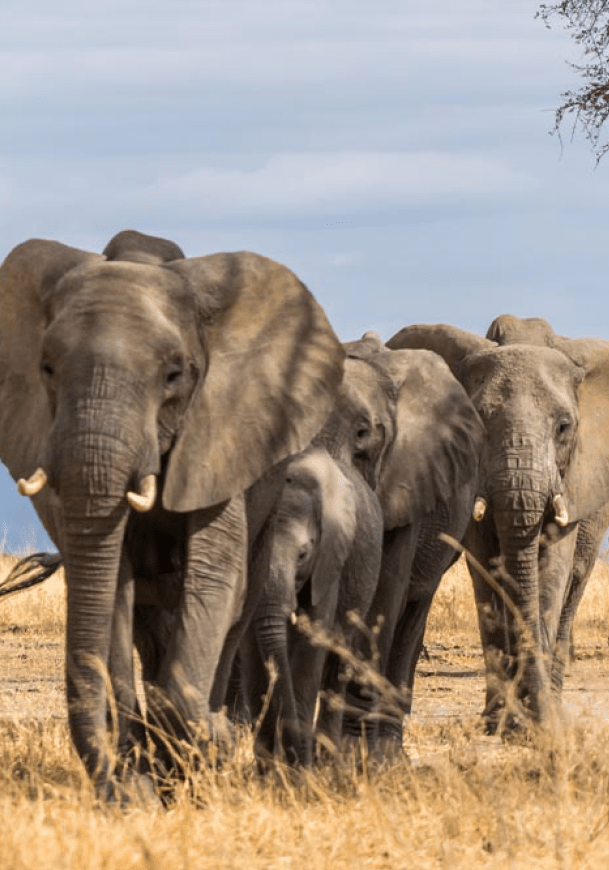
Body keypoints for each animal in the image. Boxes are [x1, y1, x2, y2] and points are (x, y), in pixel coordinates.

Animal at [0, 229, 344, 799]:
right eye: (46, 368)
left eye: (173, 375)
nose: (113, 788)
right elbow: (111, 588)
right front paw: (138, 785)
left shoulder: (220, 436)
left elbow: (213, 577)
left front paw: (208, 744)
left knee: (235, 610)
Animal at [239, 444, 383, 766]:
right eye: (254, 550)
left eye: (303, 554)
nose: (292, 758)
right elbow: (253, 650)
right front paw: (266, 767)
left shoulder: (330, 559)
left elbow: (312, 639)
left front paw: (299, 766)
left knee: (338, 661)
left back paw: (326, 758)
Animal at [388, 317, 609, 730]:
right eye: (477, 422)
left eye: (564, 427)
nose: (532, 723)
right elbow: (488, 570)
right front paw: (502, 722)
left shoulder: (572, 478)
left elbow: (552, 570)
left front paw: (537, 722)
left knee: (574, 584)